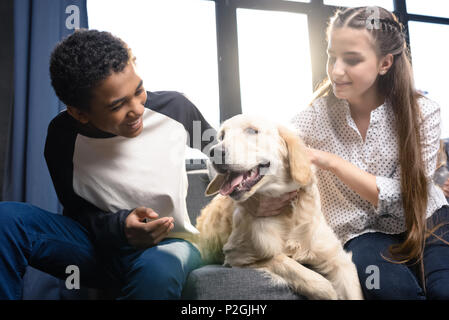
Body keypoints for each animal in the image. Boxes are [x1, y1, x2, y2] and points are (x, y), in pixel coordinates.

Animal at [194, 114, 362, 300]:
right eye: (222, 136)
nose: (214, 153)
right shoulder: (238, 255)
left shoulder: (338, 259)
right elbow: (289, 264)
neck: (288, 211)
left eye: (252, 131)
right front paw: (327, 290)